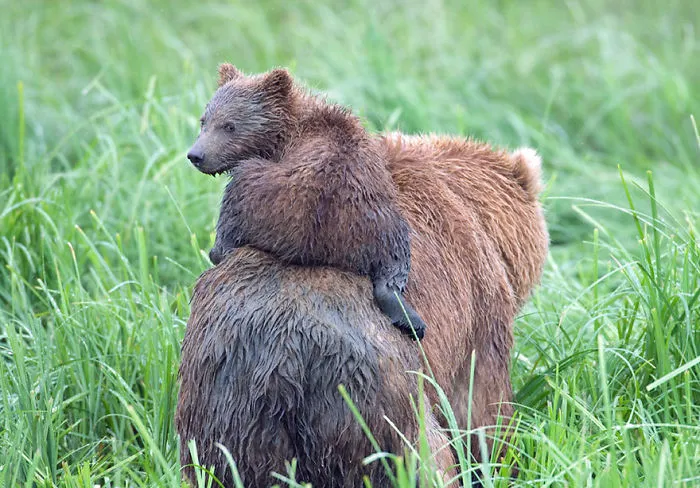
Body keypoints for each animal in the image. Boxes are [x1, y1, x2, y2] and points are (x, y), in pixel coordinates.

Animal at [186, 64, 427, 340]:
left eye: (229, 126)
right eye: (204, 120)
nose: (196, 155)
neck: (285, 133)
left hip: (266, 194)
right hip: (378, 218)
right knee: (394, 262)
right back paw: (412, 321)